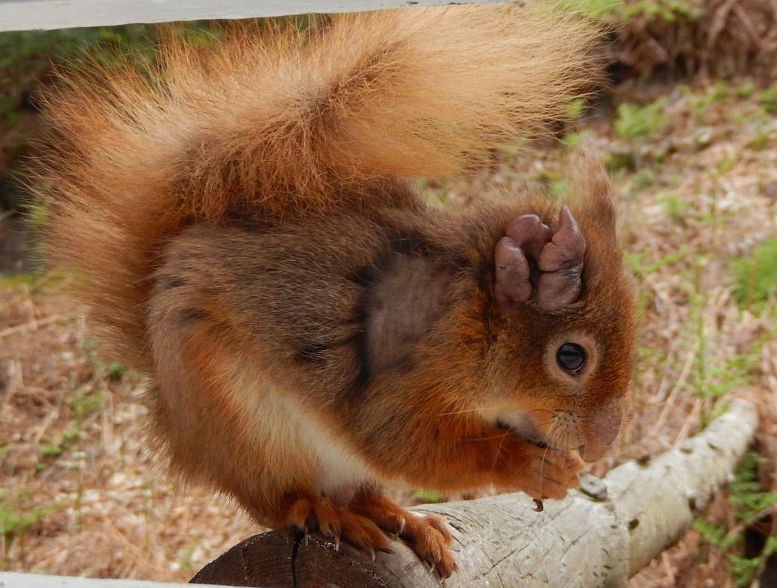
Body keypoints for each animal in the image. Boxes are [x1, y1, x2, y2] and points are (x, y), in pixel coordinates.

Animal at [31, 3, 636, 578]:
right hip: (246, 424)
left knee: (359, 490)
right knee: (275, 501)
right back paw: (325, 513)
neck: (466, 313)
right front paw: (533, 467)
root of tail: (178, 422)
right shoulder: (398, 385)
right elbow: (409, 444)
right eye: (571, 356)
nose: (602, 444)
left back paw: (402, 519)